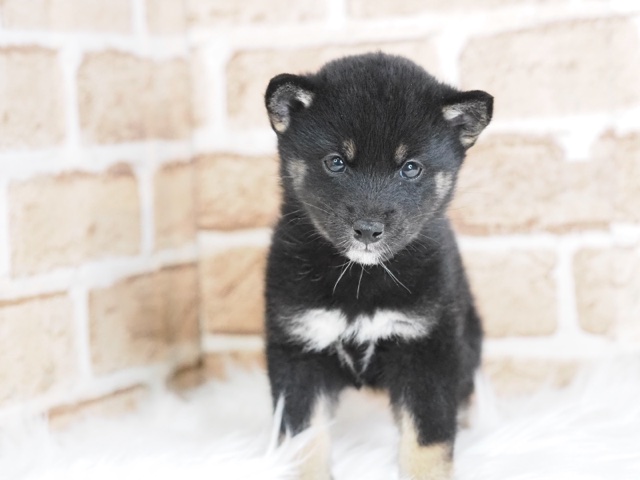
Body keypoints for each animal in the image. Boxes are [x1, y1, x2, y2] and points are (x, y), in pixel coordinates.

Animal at [262, 53, 492, 480]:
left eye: (411, 167)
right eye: (336, 162)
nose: (368, 230)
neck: (361, 279)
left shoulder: (426, 350)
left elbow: (428, 441)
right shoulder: (299, 350)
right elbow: (305, 441)